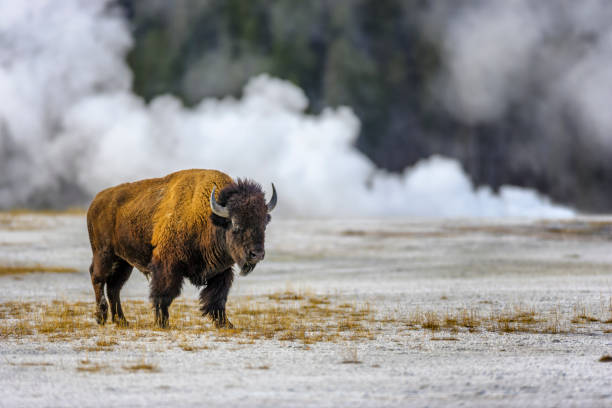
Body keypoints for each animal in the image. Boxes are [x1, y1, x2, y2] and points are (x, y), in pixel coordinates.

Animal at [86, 169, 278, 328]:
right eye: (236, 225)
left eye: (263, 224)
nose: (257, 254)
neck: (210, 219)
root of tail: (95, 202)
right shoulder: (168, 266)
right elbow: (164, 293)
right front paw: (162, 323)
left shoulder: (221, 272)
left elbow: (217, 298)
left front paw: (225, 324)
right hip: (104, 254)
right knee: (98, 279)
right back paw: (101, 317)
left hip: (124, 262)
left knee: (114, 287)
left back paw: (122, 321)